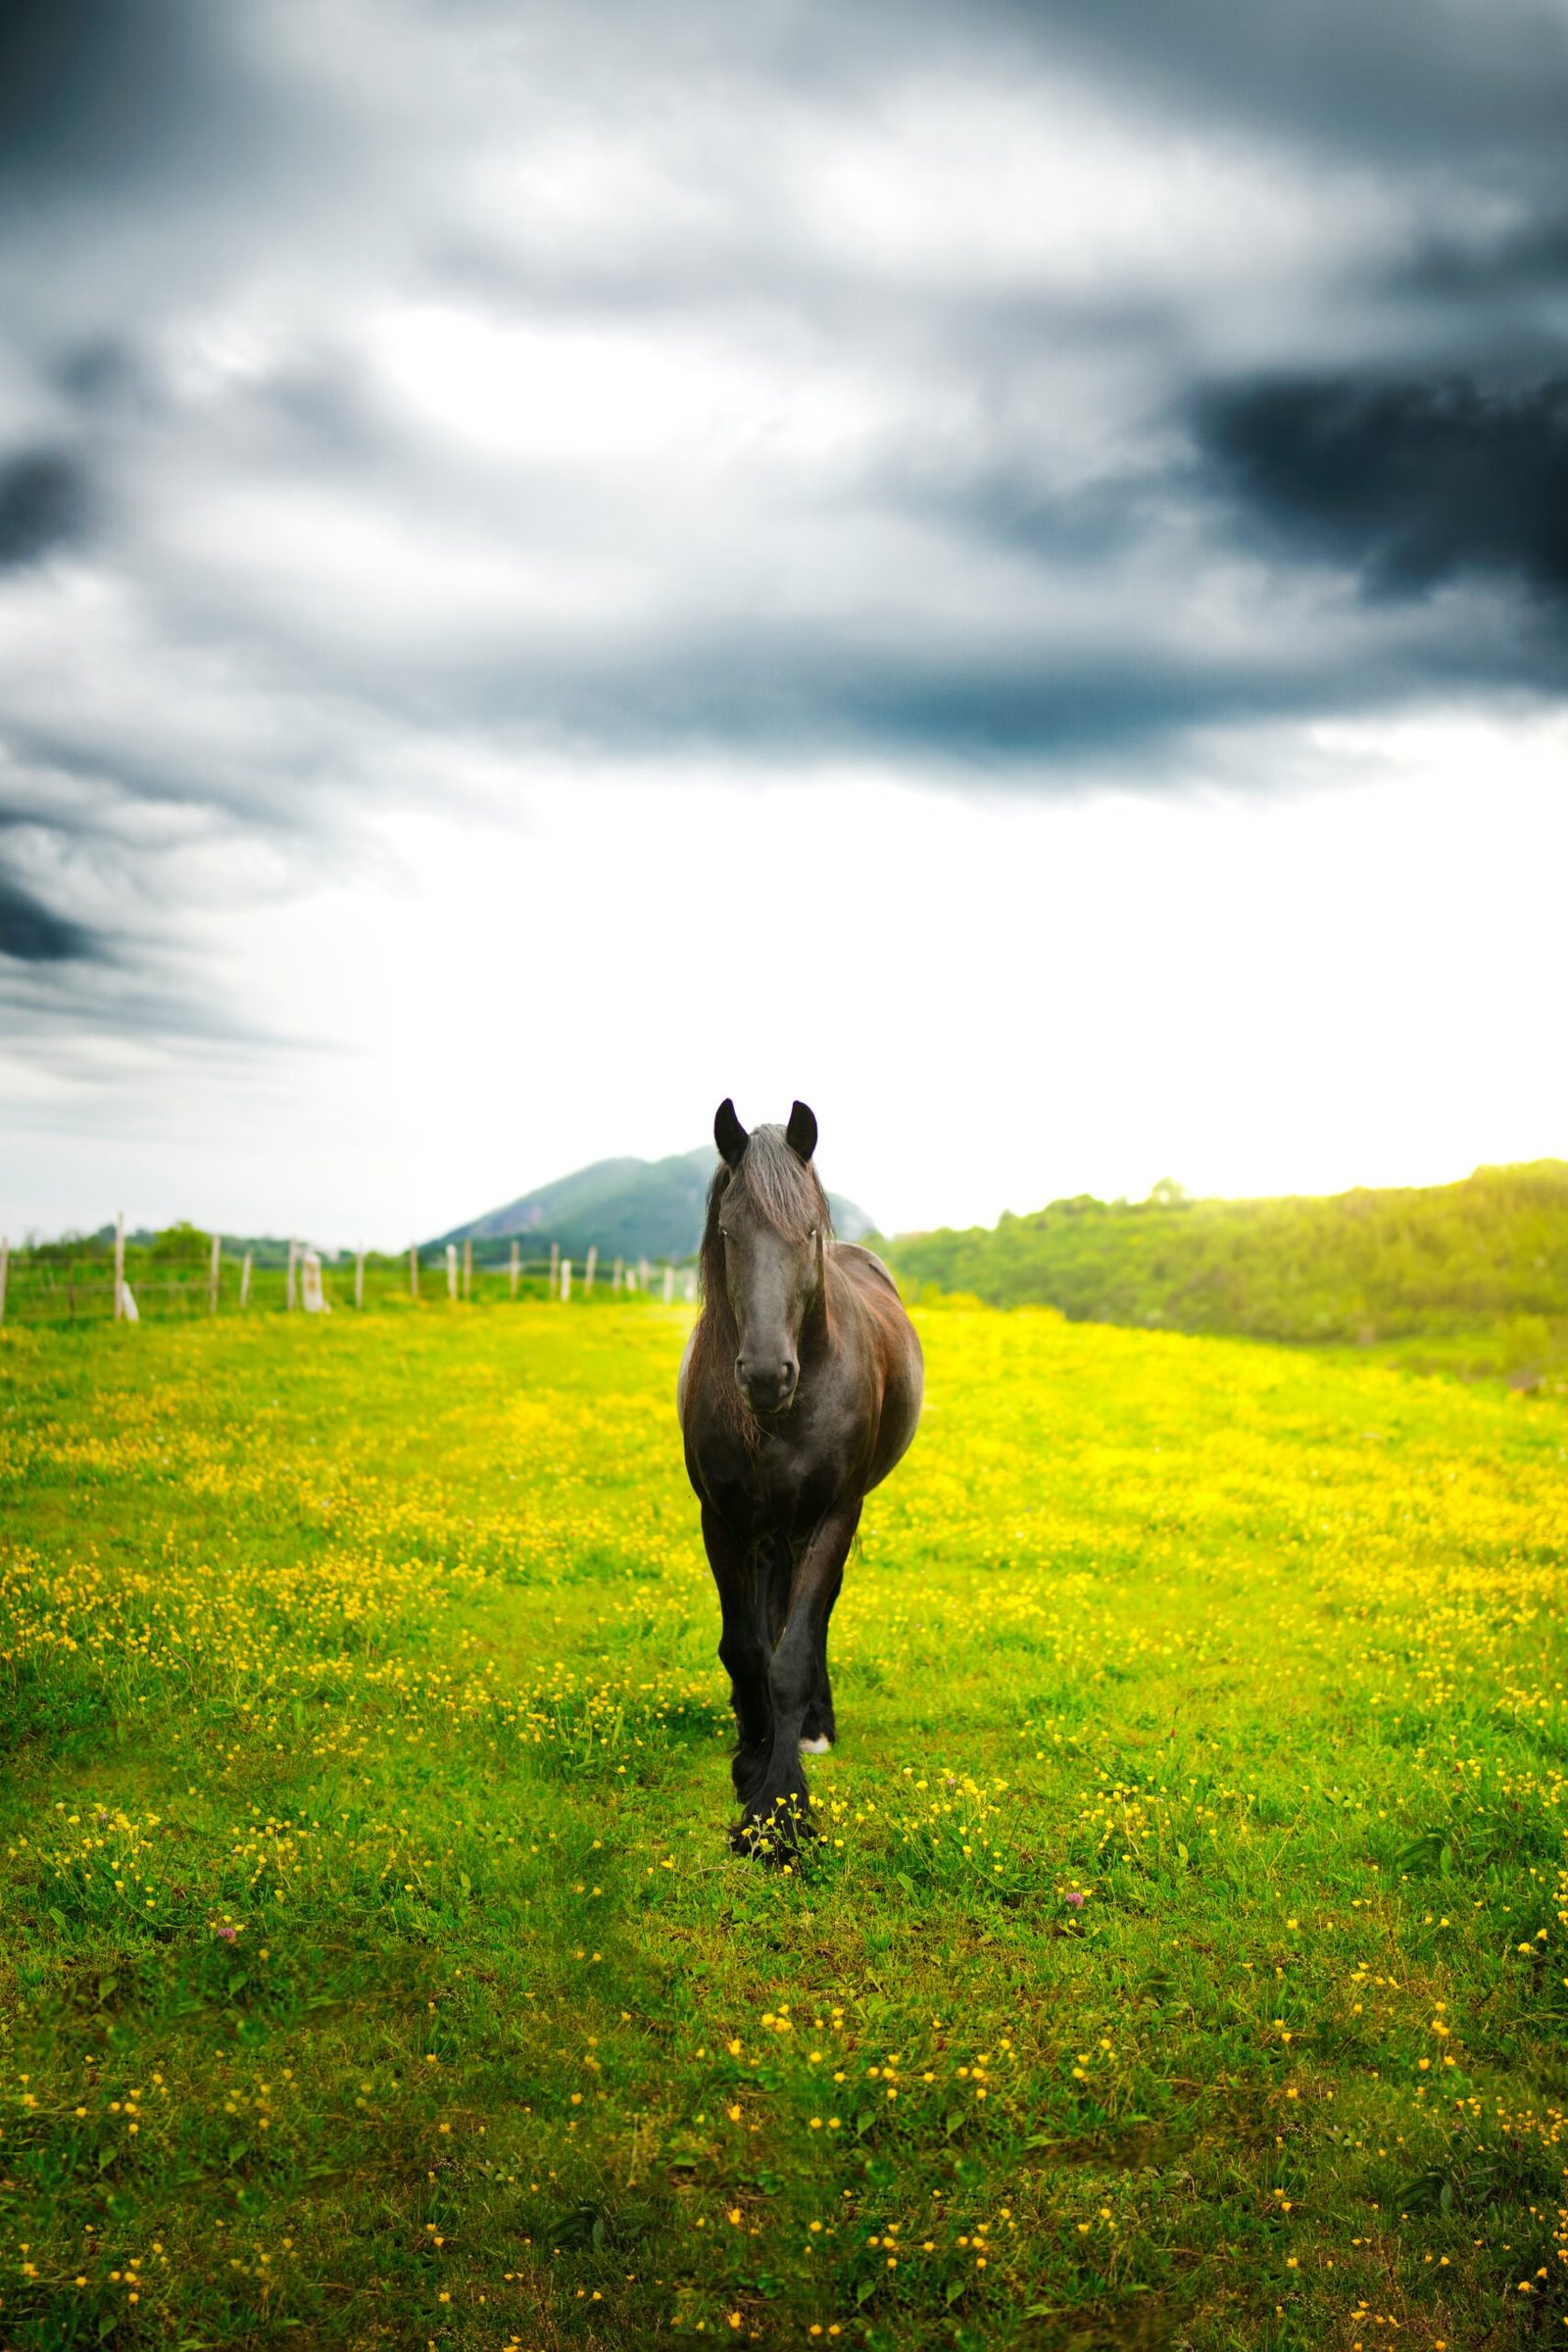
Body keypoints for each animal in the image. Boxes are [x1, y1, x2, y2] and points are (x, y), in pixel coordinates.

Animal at [678, 1098, 924, 1856]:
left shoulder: (833, 1517)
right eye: (729, 1234)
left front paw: (779, 1808)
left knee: (812, 1622)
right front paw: (752, 1758)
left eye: (808, 1229)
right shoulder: (723, 1520)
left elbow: (789, 1657)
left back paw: (815, 1724)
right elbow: (746, 1648)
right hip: (766, 1531)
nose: (764, 1374)